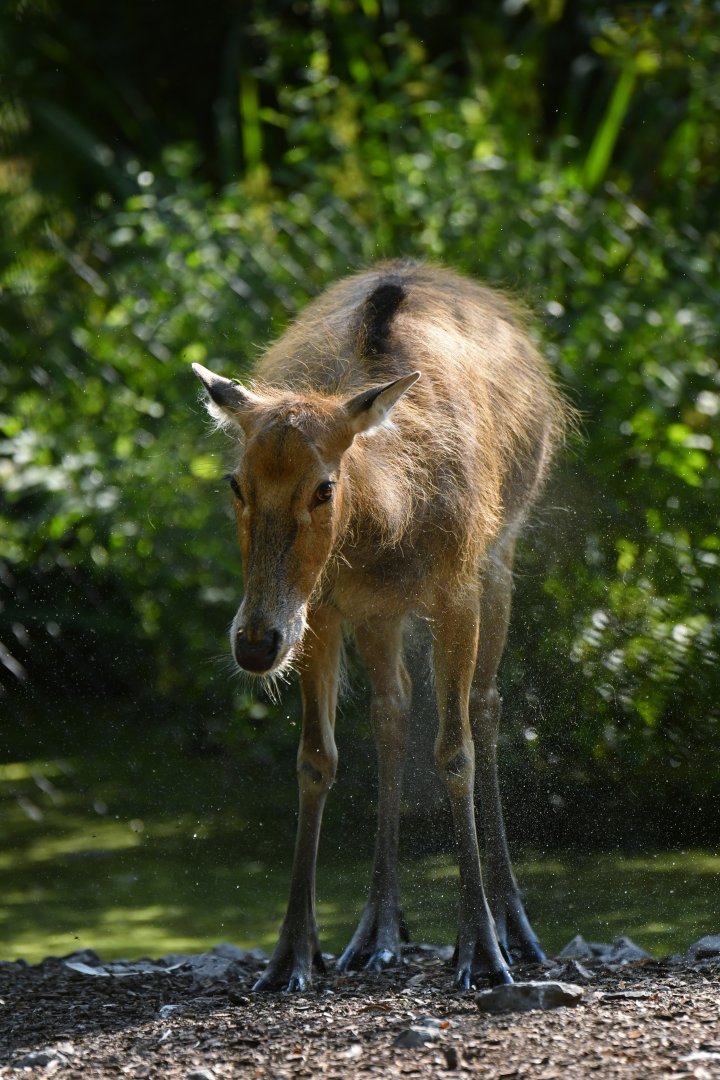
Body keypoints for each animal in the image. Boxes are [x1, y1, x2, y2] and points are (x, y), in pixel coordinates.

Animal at [192, 260, 568, 991]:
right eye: (235, 483)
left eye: (323, 486)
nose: (255, 642)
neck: (391, 525)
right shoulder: (326, 607)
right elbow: (316, 758)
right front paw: (290, 955)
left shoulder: (456, 586)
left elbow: (455, 750)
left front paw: (480, 951)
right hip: (378, 614)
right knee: (392, 711)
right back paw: (378, 932)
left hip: (501, 553)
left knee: (486, 703)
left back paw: (514, 926)